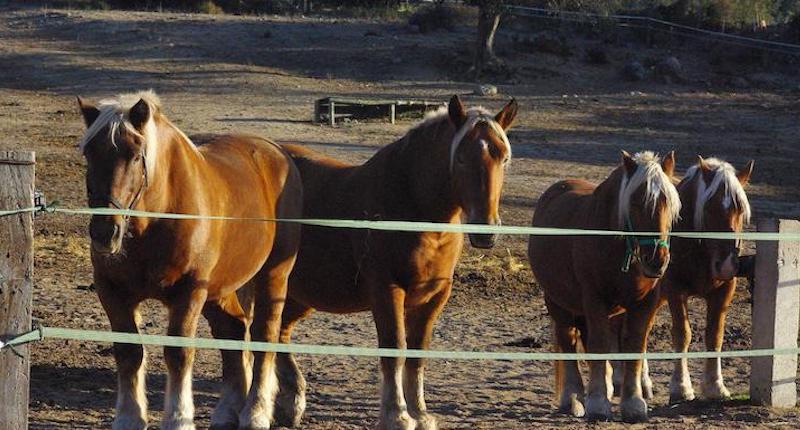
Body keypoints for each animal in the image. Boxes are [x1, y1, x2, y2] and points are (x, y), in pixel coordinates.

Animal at [77, 91, 303, 430]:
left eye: (135, 155)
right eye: (89, 154)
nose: (105, 232)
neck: (159, 217)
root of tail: (277, 153)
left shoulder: (189, 291)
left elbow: (179, 353)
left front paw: (178, 418)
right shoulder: (113, 290)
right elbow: (129, 352)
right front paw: (129, 418)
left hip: (272, 276)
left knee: (265, 336)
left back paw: (256, 413)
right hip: (219, 289)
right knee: (233, 330)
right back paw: (226, 413)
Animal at [274, 95, 517, 430]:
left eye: (503, 158)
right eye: (461, 158)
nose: (486, 231)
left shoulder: (435, 297)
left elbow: (417, 354)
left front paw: (421, 413)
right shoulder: (387, 291)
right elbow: (395, 351)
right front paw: (398, 415)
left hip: (300, 294)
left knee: (278, 332)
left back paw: (290, 402)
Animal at [528, 151, 681, 423]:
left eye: (669, 204)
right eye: (635, 203)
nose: (656, 260)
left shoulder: (644, 304)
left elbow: (634, 346)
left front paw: (633, 403)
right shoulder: (594, 299)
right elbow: (599, 344)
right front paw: (598, 403)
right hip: (557, 302)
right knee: (568, 342)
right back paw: (573, 398)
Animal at [657, 156, 753, 403]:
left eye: (741, 210)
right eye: (709, 207)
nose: (727, 264)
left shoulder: (724, 291)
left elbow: (714, 336)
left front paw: (715, 386)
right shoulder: (675, 290)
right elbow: (682, 335)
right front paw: (681, 387)